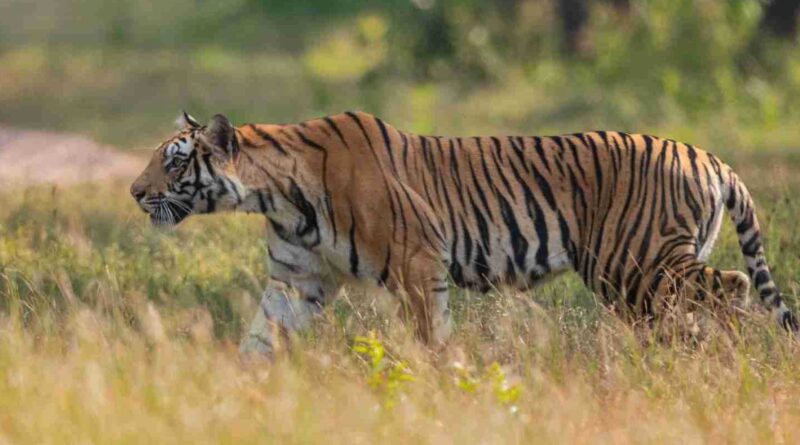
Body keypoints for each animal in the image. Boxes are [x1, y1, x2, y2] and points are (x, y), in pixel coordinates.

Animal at [130, 111, 798, 355]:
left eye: (175, 161)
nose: (134, 192)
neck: (275, 195)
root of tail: (711, 158)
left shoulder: (416, 264)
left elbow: (430, 338)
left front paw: (438, 386)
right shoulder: (297, 280)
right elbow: (259, 338)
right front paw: (233, 394)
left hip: (637, 263)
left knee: (733, 287)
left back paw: (719, 362)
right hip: (639, 279)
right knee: (697, 307)